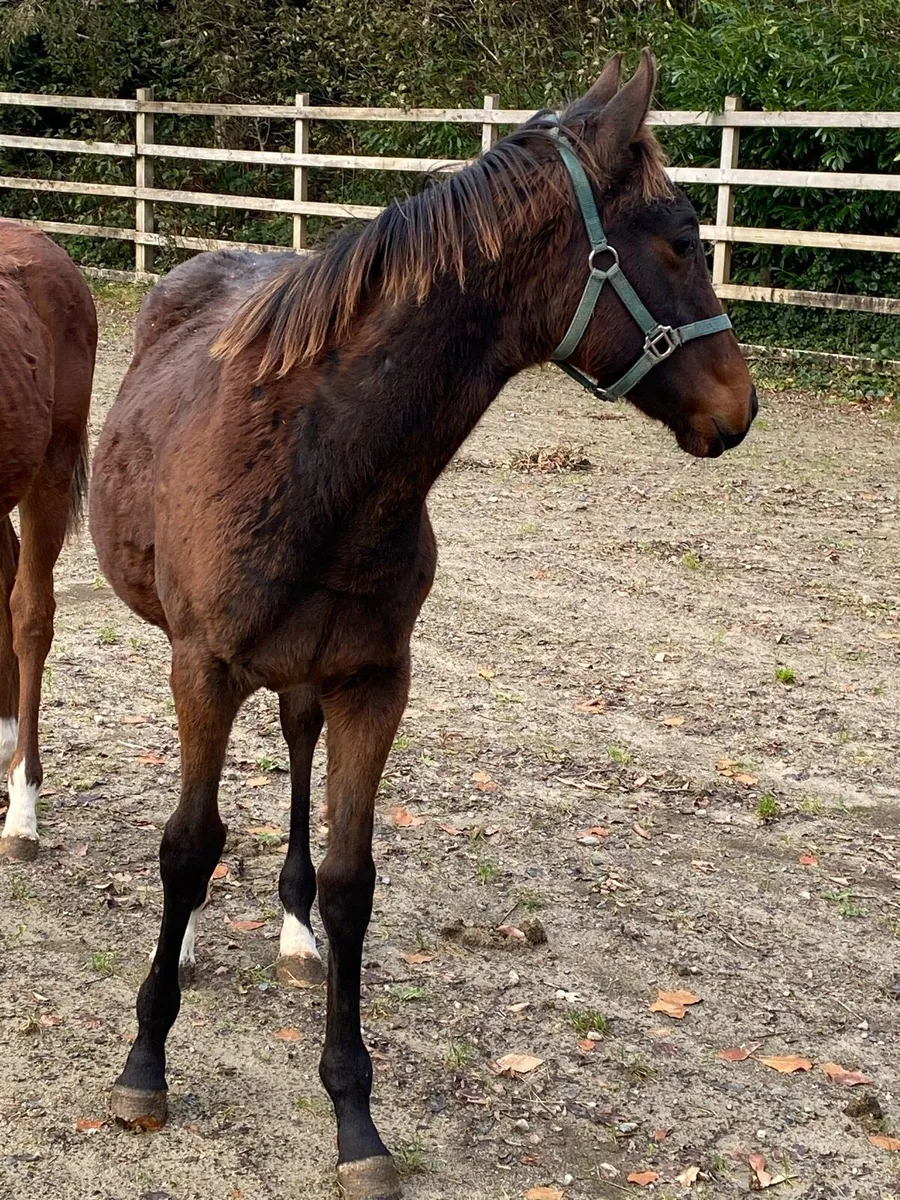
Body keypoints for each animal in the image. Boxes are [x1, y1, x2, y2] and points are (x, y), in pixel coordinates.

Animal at [89, 51, 756, 1200]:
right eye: (680, 238)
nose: (741, 404)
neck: (321, 460)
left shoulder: (375, 684)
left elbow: (353, 883)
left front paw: (355, 1116)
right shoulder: (202, 666)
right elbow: (186, 846)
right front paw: (144, 1066)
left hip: (307, 677)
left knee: (296, 750)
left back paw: (290, 928)